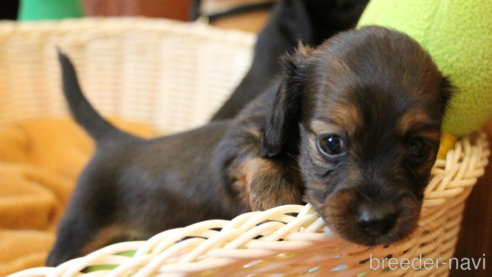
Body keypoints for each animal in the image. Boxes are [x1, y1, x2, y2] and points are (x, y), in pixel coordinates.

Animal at [48, 26, 452, 266]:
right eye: (331, 143)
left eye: (419, 148)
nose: (377, 222)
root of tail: (117, 140)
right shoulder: (237, 143)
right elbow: (257, 158)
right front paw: (277, 195)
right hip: (78, 229)